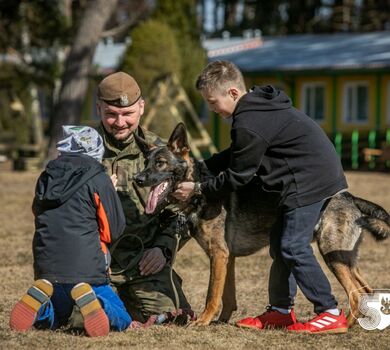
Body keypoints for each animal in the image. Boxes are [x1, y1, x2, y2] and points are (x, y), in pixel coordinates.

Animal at [133, 123, 390, 328]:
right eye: (145, 162)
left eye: (161, 163)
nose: (138, 179)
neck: (198, 192)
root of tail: (350, 197)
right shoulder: (227, 258)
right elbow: (228, 296)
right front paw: (221, 322)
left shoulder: (218, 255)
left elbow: (212, 295)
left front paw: (203, 321)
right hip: (346, 259)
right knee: (366, 291)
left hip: (331, 256)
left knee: (355, 295)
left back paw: (344, 325)